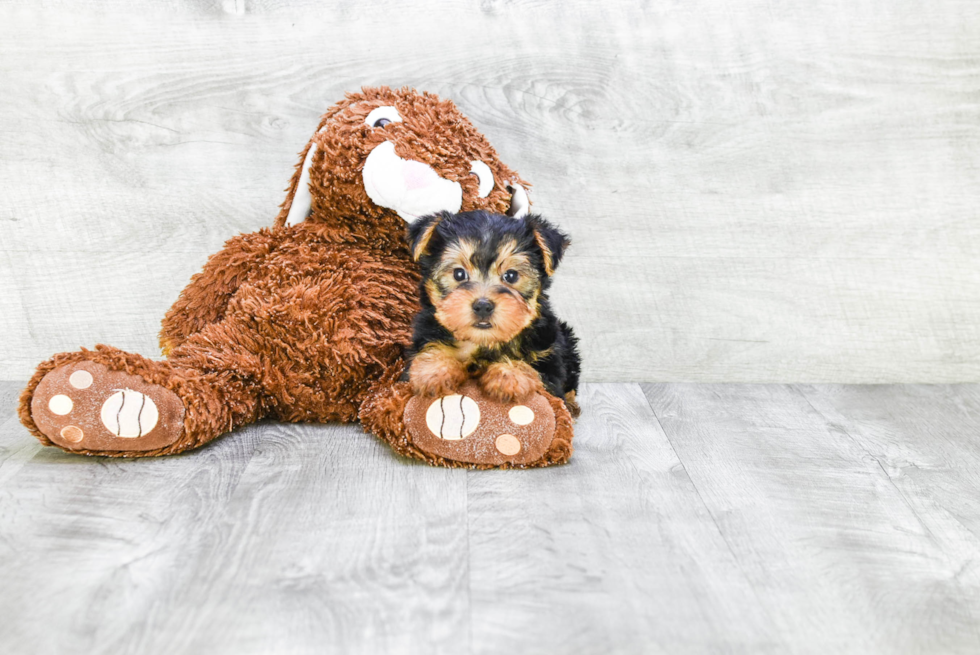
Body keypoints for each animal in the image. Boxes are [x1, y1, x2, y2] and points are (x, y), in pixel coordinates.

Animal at [406, 210, 580, 416]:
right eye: (459, 274)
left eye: (511, 275)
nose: (483, 306)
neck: (483, 341)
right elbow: (431, 350)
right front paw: (434, 369)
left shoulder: (548, 360)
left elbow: (536, 373)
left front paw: (508, 375)